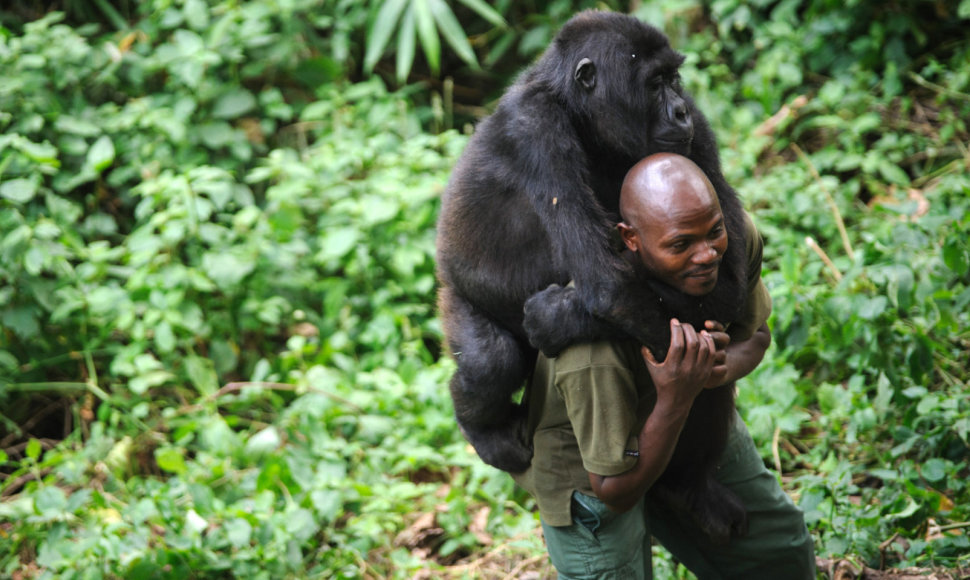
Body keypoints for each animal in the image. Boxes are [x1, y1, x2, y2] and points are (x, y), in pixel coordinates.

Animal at [436, 10, 748, 544]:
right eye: (654, 83)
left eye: (675, 79)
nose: (680, 112)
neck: (580, 114)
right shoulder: (535, 130)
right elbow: (612, 287)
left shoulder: (698, 136)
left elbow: (728, 279)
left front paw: (556, 319)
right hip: (454, 293)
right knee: (488, 360)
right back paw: (483, 429)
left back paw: (690, 487)